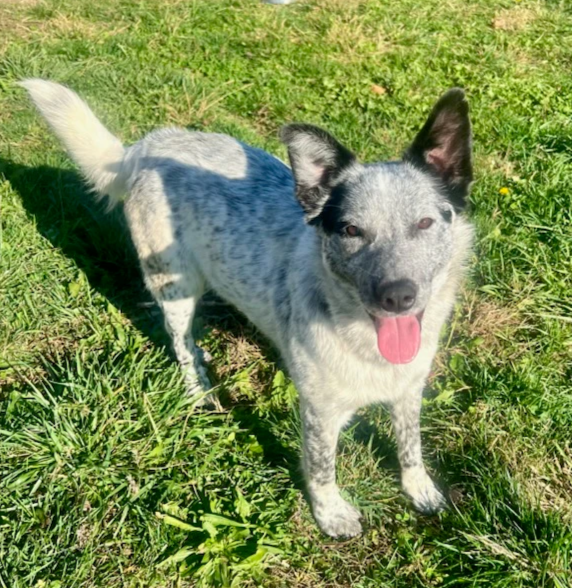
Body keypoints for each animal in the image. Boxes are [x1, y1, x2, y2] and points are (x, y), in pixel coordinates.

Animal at [20, 79, 474, 536]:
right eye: (350, 230)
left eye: (424, 223)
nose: (397, 296)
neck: (361, 335)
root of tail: (148, 145)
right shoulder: (320, 412)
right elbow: (321, 467)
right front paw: (330, 514)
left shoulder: (409, 391)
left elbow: (410, 445)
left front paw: (419, 489)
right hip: (176, 286)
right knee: (182, 345)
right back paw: (199, 391)